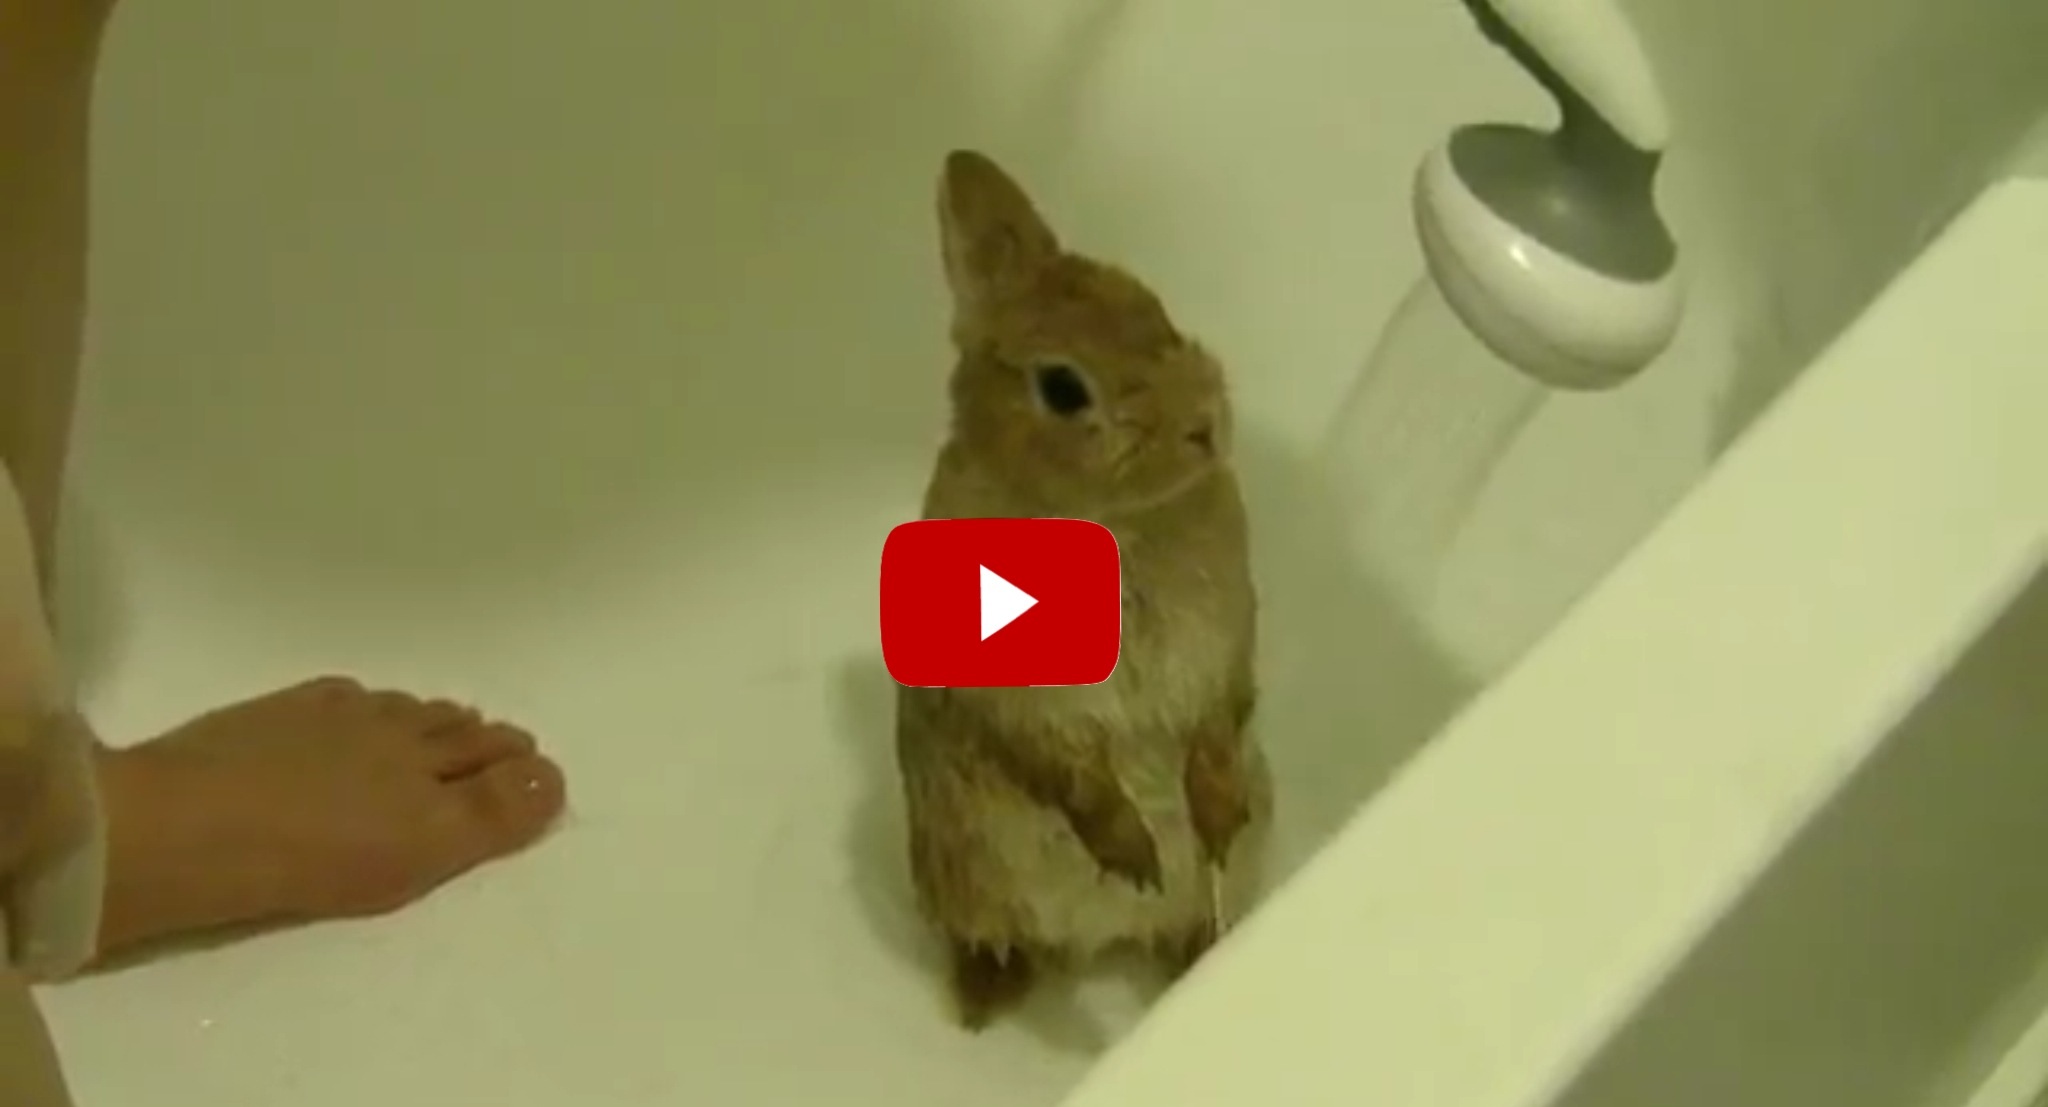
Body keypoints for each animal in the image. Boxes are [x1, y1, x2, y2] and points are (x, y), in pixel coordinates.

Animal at [894, 149, 1272, 1030]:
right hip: (956, 865)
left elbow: (1215, 725)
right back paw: (984, 997)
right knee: (995, 936)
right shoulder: (1019, 703)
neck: (1115, 522)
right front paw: (1132, 850)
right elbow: (1072, 772)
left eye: (1150, 303)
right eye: (1063, 389)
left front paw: (1214, 817)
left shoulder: (1223, 646)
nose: (1205, 423)